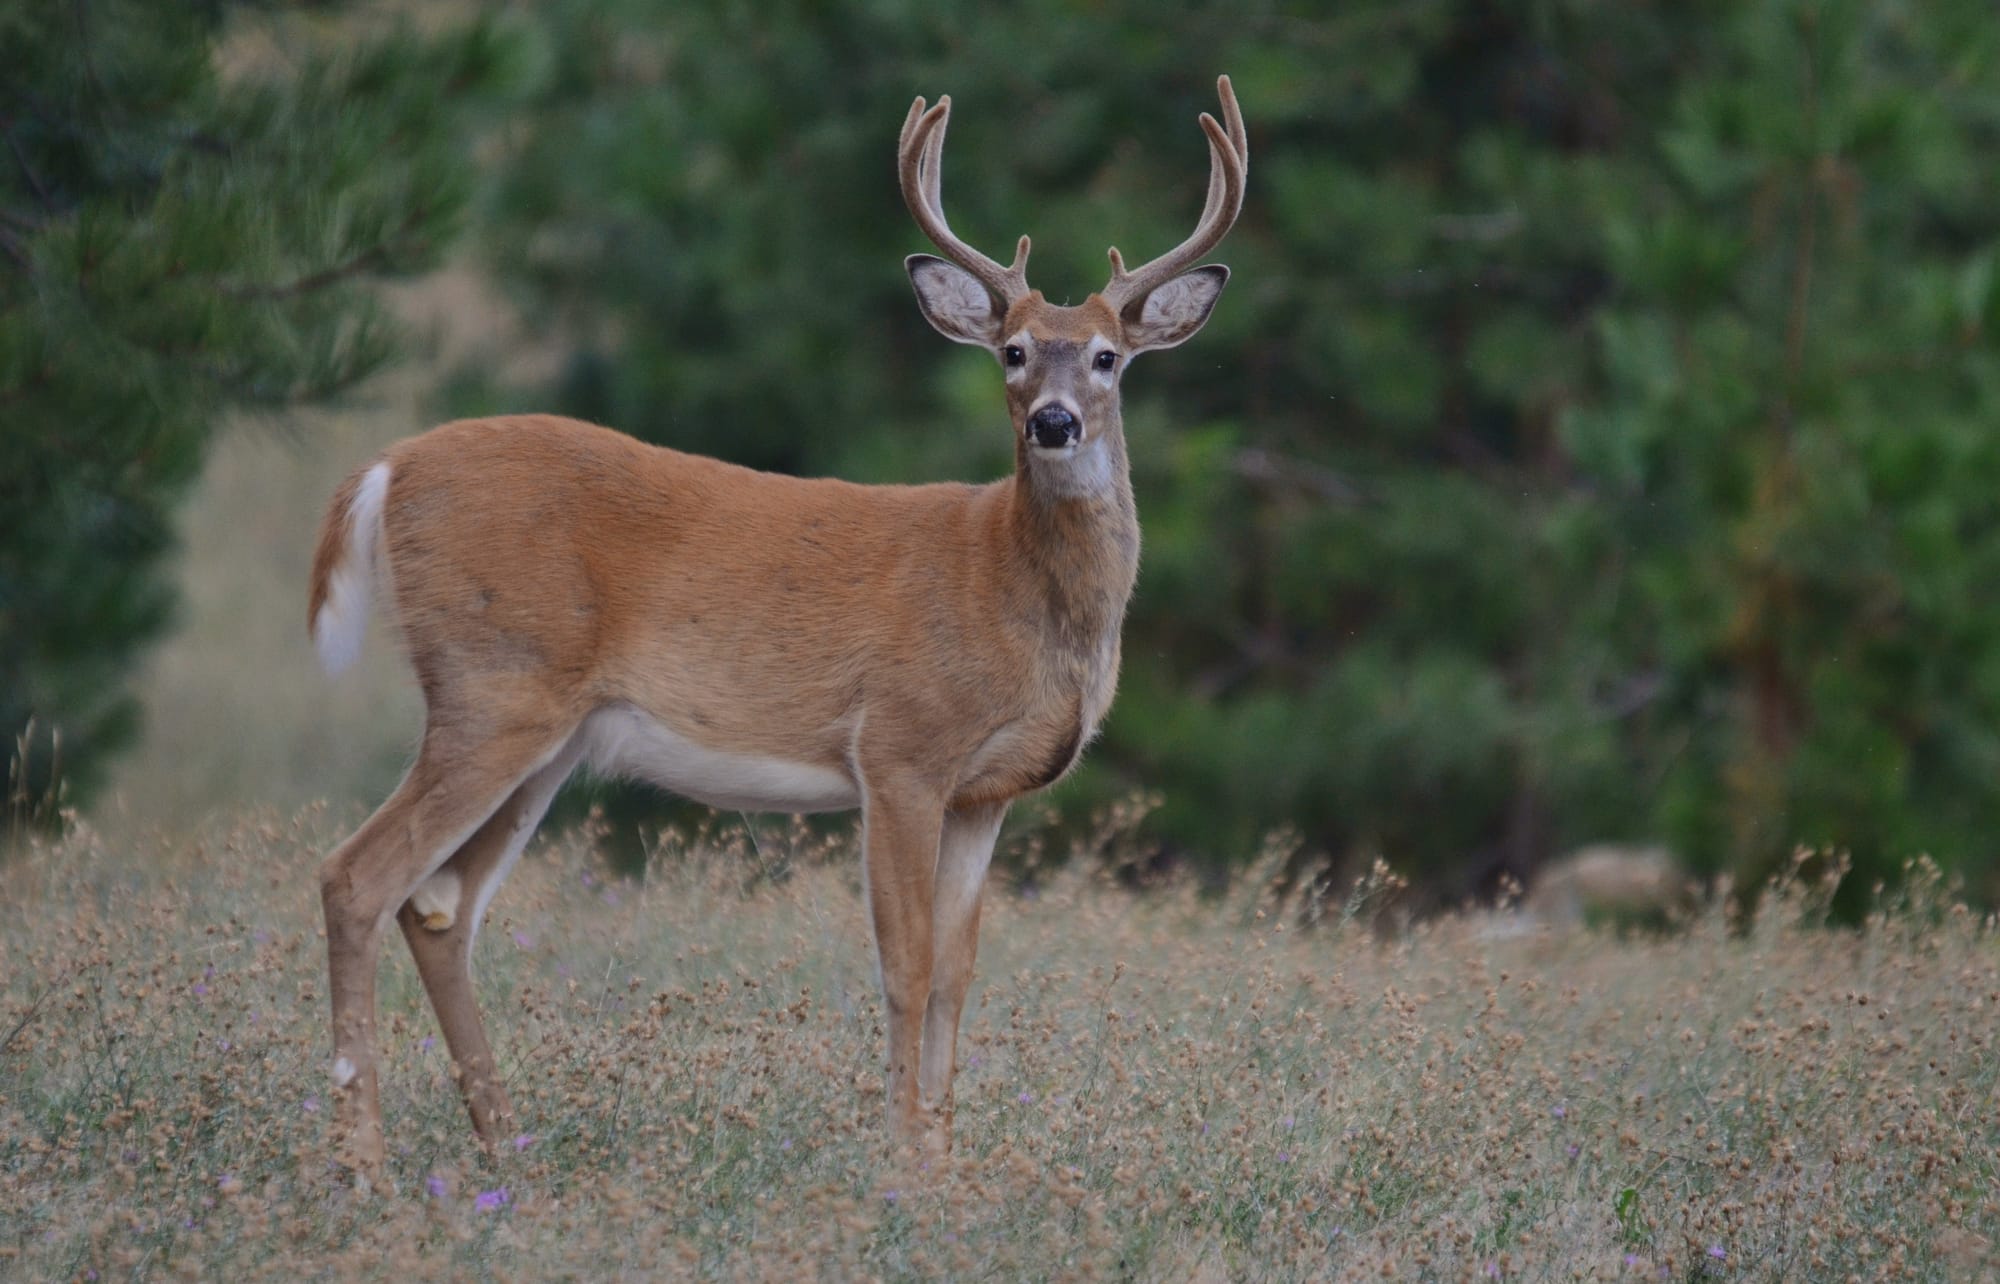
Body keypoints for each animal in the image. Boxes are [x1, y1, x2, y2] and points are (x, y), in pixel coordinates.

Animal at [308, 75, 1248, 1168]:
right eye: (1012, 352)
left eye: (1106, 358)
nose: (1053, 421)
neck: (1013, 590)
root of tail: (385, 469)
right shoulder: (899, 750)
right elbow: (905, 965)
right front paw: (901, 1165)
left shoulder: (986, 794)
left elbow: (959, 975)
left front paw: (945, 1163)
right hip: (490, 686)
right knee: (356, 877)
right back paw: (366, 1163)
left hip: (545, 733)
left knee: (440, 908)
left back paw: (508, 1149)